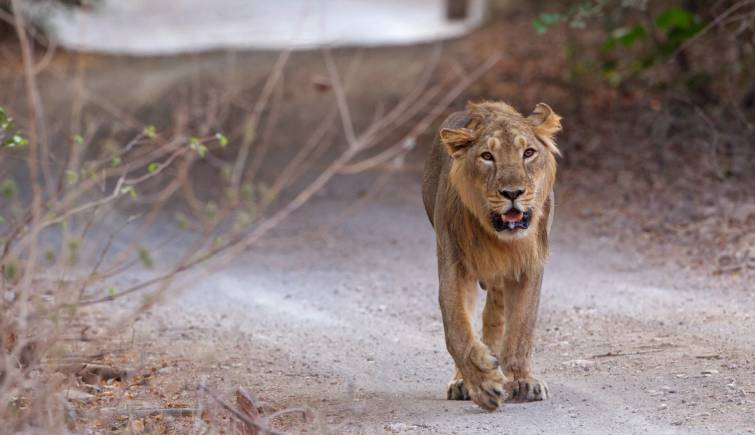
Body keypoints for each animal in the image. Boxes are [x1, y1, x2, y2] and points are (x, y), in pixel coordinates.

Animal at [426, 100, 560, 410]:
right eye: (487, 156)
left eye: (528, 153)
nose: (513, 193)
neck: (500, 240)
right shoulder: (454, 265)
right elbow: (458, 330)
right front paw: (483, 384)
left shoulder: (528, 267)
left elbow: (521, 327)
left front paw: (521, 380)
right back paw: (462, 381)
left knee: (495, 316)